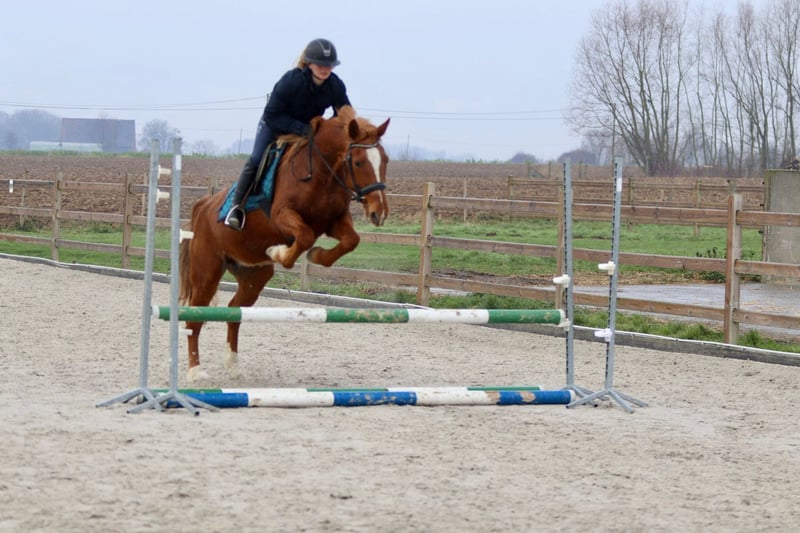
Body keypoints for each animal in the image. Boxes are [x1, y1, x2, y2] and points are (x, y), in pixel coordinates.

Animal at [178, 106, 390, 381]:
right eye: (358, 162)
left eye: (385, 160)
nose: (379, 213)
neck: (321, 173)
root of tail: (203, 207)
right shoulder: (282, 216)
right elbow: (304, 236)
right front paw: (278, 252)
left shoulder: (333, 222)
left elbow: (351, 240)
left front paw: (316, 255)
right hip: (207, 273)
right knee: (194, 319)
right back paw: (195, 372)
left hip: (253, 275)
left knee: (234, 311)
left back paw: (233, 365)